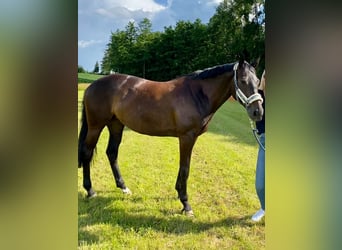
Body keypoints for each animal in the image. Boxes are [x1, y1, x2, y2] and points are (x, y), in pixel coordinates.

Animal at [79, 60, 264, 215]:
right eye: (242, 80)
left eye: (257, 81)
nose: (258, 112)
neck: (196, 94)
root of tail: (91, 86)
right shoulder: (187, 137)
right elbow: (185, 168)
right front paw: (186, 204)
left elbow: (183, 168)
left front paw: (178, 193)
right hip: (96, 126)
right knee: (87, 153)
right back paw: (90, 191)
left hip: (116, 125)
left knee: (112, 153)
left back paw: (123, 187)